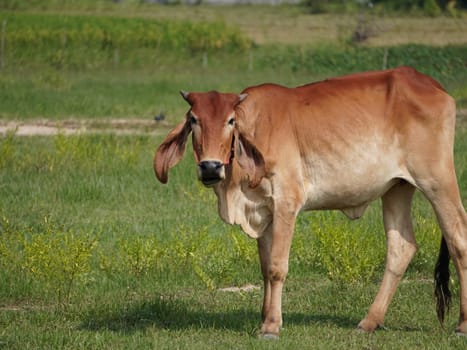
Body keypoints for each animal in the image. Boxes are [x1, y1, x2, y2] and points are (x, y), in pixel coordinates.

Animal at [154, 66, 467, 340]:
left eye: (231, 120)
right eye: (194, 119)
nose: (210, 167)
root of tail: (431, 84)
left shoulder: (286, 202)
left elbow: (277, 267)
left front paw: (271, 327)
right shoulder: (264, 211)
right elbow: (265, 268)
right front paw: (265, 318)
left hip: (437, 180)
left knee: (458, 239)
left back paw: (462, 325)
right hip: (397, 188)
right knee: (401, 248)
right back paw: (369, 321)